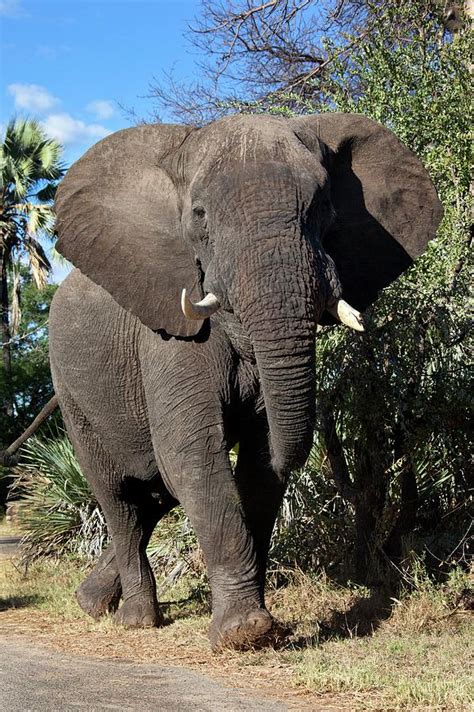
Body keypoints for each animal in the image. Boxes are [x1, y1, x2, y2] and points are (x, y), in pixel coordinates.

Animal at [48, 112, 440, 652]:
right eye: (199, 216)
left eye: (324, 208)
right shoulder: (167, 327)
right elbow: (192, 454)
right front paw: (244, 633)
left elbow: (258, 465)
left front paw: (254, 625)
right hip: (70, 390)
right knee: (119, 496)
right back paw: (136, 618)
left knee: (155, 493)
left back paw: (91, 602)